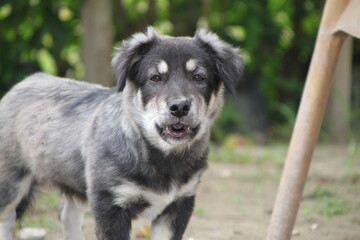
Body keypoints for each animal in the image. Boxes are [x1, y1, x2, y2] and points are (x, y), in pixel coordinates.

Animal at [0, 27, 245, 239]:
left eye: (199, 77)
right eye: (155, 78)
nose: (179, 107)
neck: (160, 158)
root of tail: (22, 84)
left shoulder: (179, 204)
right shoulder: (110, 205)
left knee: (68, 216)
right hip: (10, 184)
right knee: (7, 219)